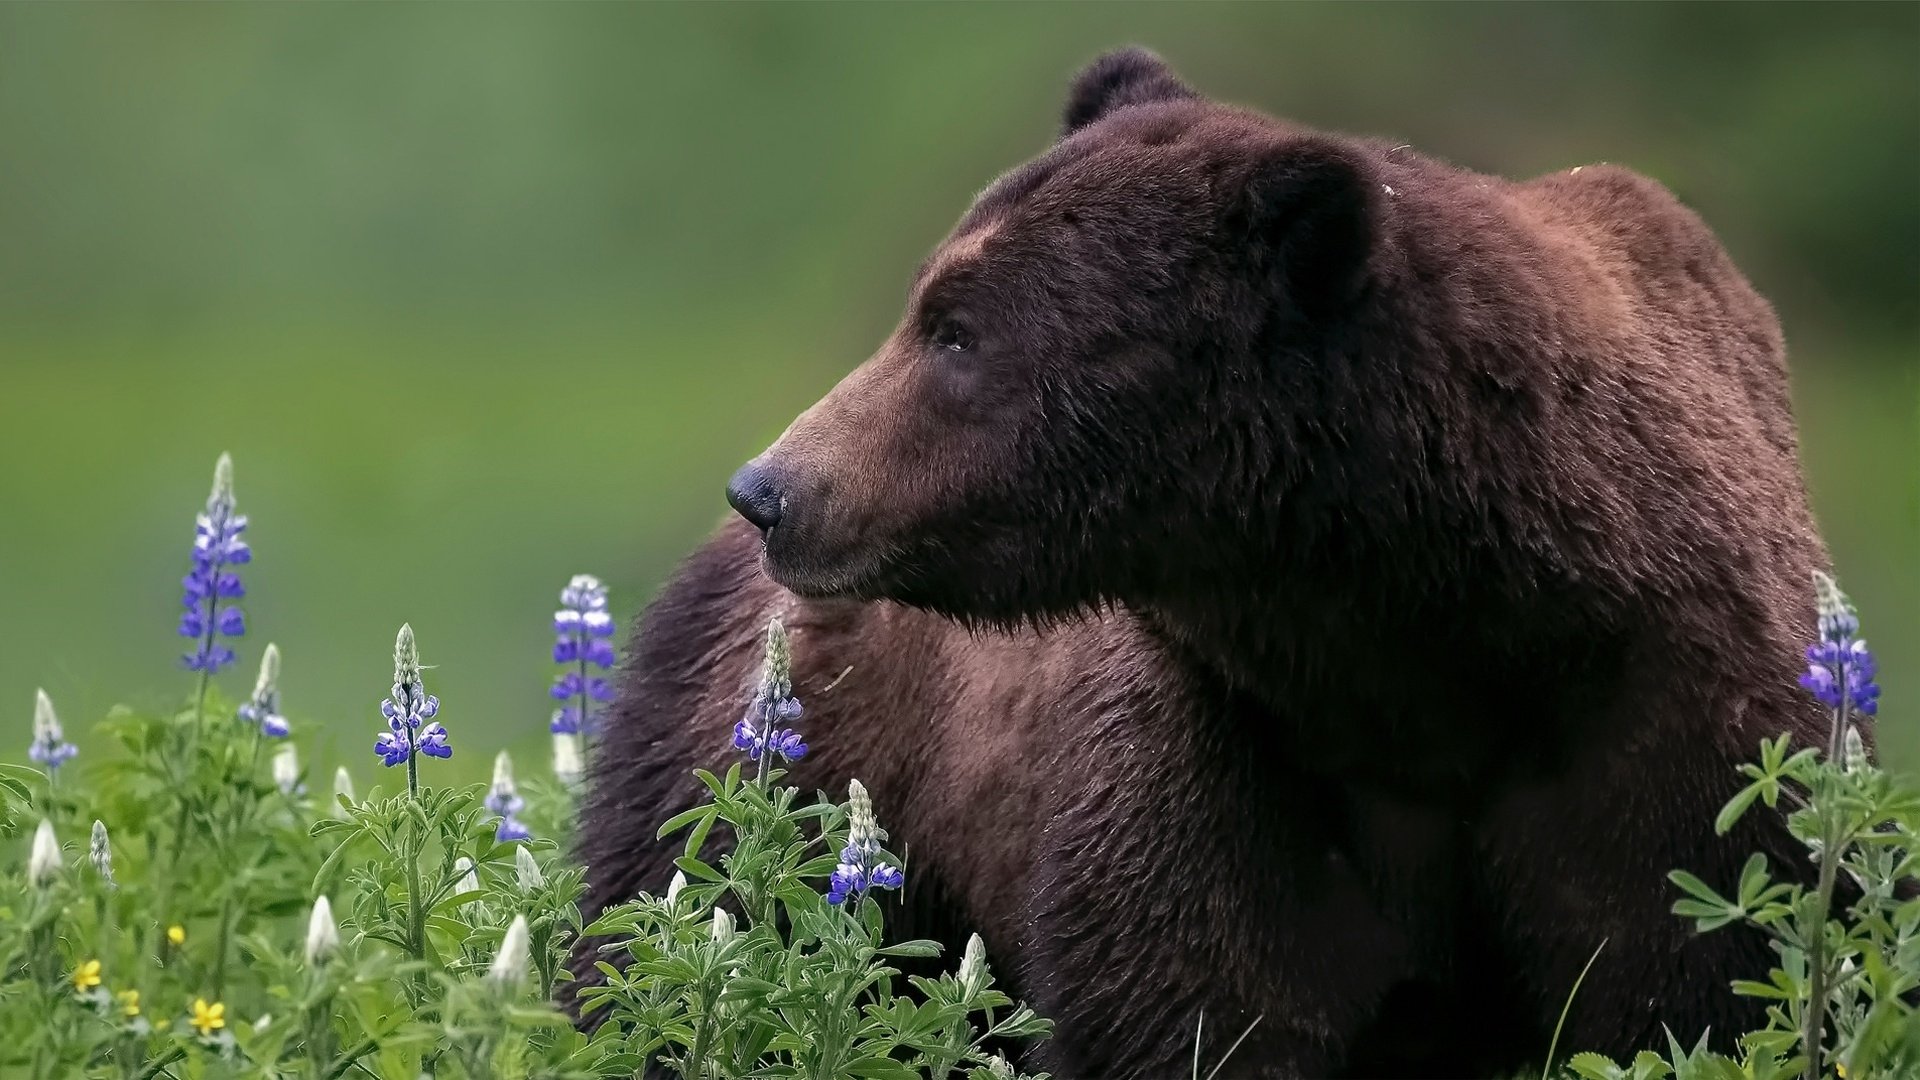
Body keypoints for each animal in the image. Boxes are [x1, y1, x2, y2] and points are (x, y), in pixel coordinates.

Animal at [576, 46, 1835, 1068]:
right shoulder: (1226, 744)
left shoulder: (1669, 743)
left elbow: (1683, 989)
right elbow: (1204, 1009)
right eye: (930, 302)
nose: (772, 490)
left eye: (957, 332)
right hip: (785, 766)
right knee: (662, 928)